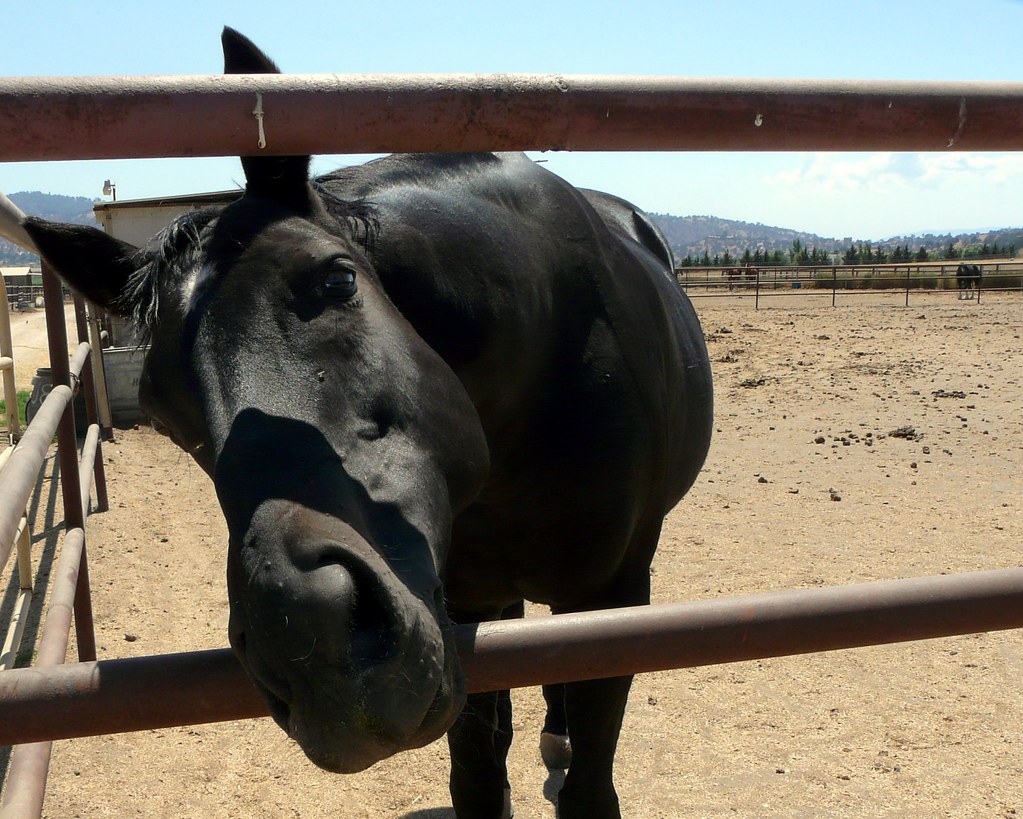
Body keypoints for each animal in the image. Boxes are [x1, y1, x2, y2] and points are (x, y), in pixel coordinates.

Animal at [22, 28, 713, 819]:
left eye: (338, 279)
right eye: (165, 413)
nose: (310, 642)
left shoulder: (619, 590)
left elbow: (591, 781)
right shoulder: (464, 600)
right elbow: (480, 775)